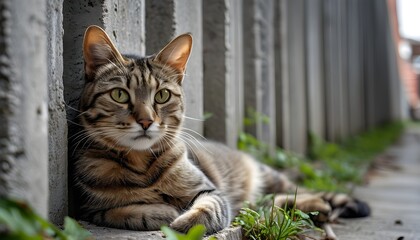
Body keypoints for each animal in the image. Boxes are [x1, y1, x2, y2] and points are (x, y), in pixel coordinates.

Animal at [74, 25, 370, 233]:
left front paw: (183, 221)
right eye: (120, 95)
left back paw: (319, 206)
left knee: (293, 192)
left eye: (162, 96)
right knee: (270, 202)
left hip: (268, 177)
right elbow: (125, 210)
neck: (140, 165)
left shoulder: (211, 191)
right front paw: (161, 211)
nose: (146, 121)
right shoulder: (89, 209)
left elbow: (208, 211)